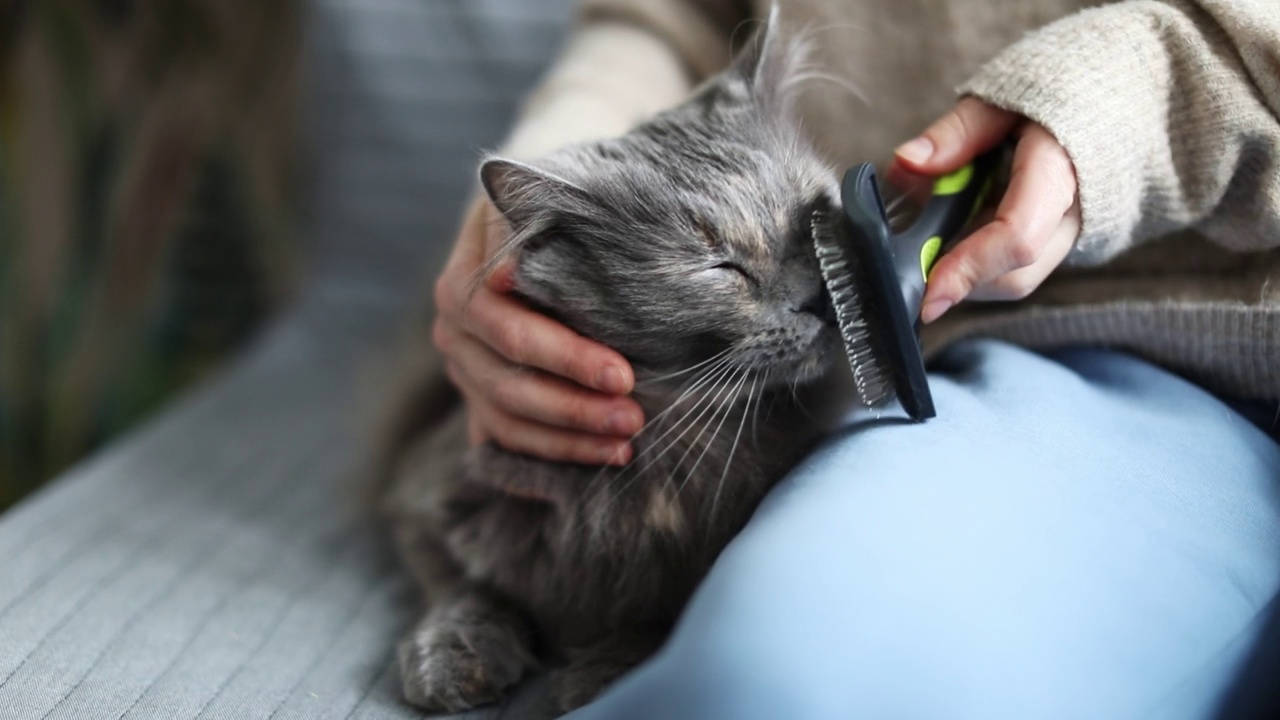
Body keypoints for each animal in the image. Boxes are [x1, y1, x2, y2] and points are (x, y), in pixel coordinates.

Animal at [373, 12, 849, 712]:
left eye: (814, 215)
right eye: (720, 268)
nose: (818, 296)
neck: (664, 447)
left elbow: (671, 609)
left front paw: (605, 670)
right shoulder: (421, 491)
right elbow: (458, 582)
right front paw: (455, 654)